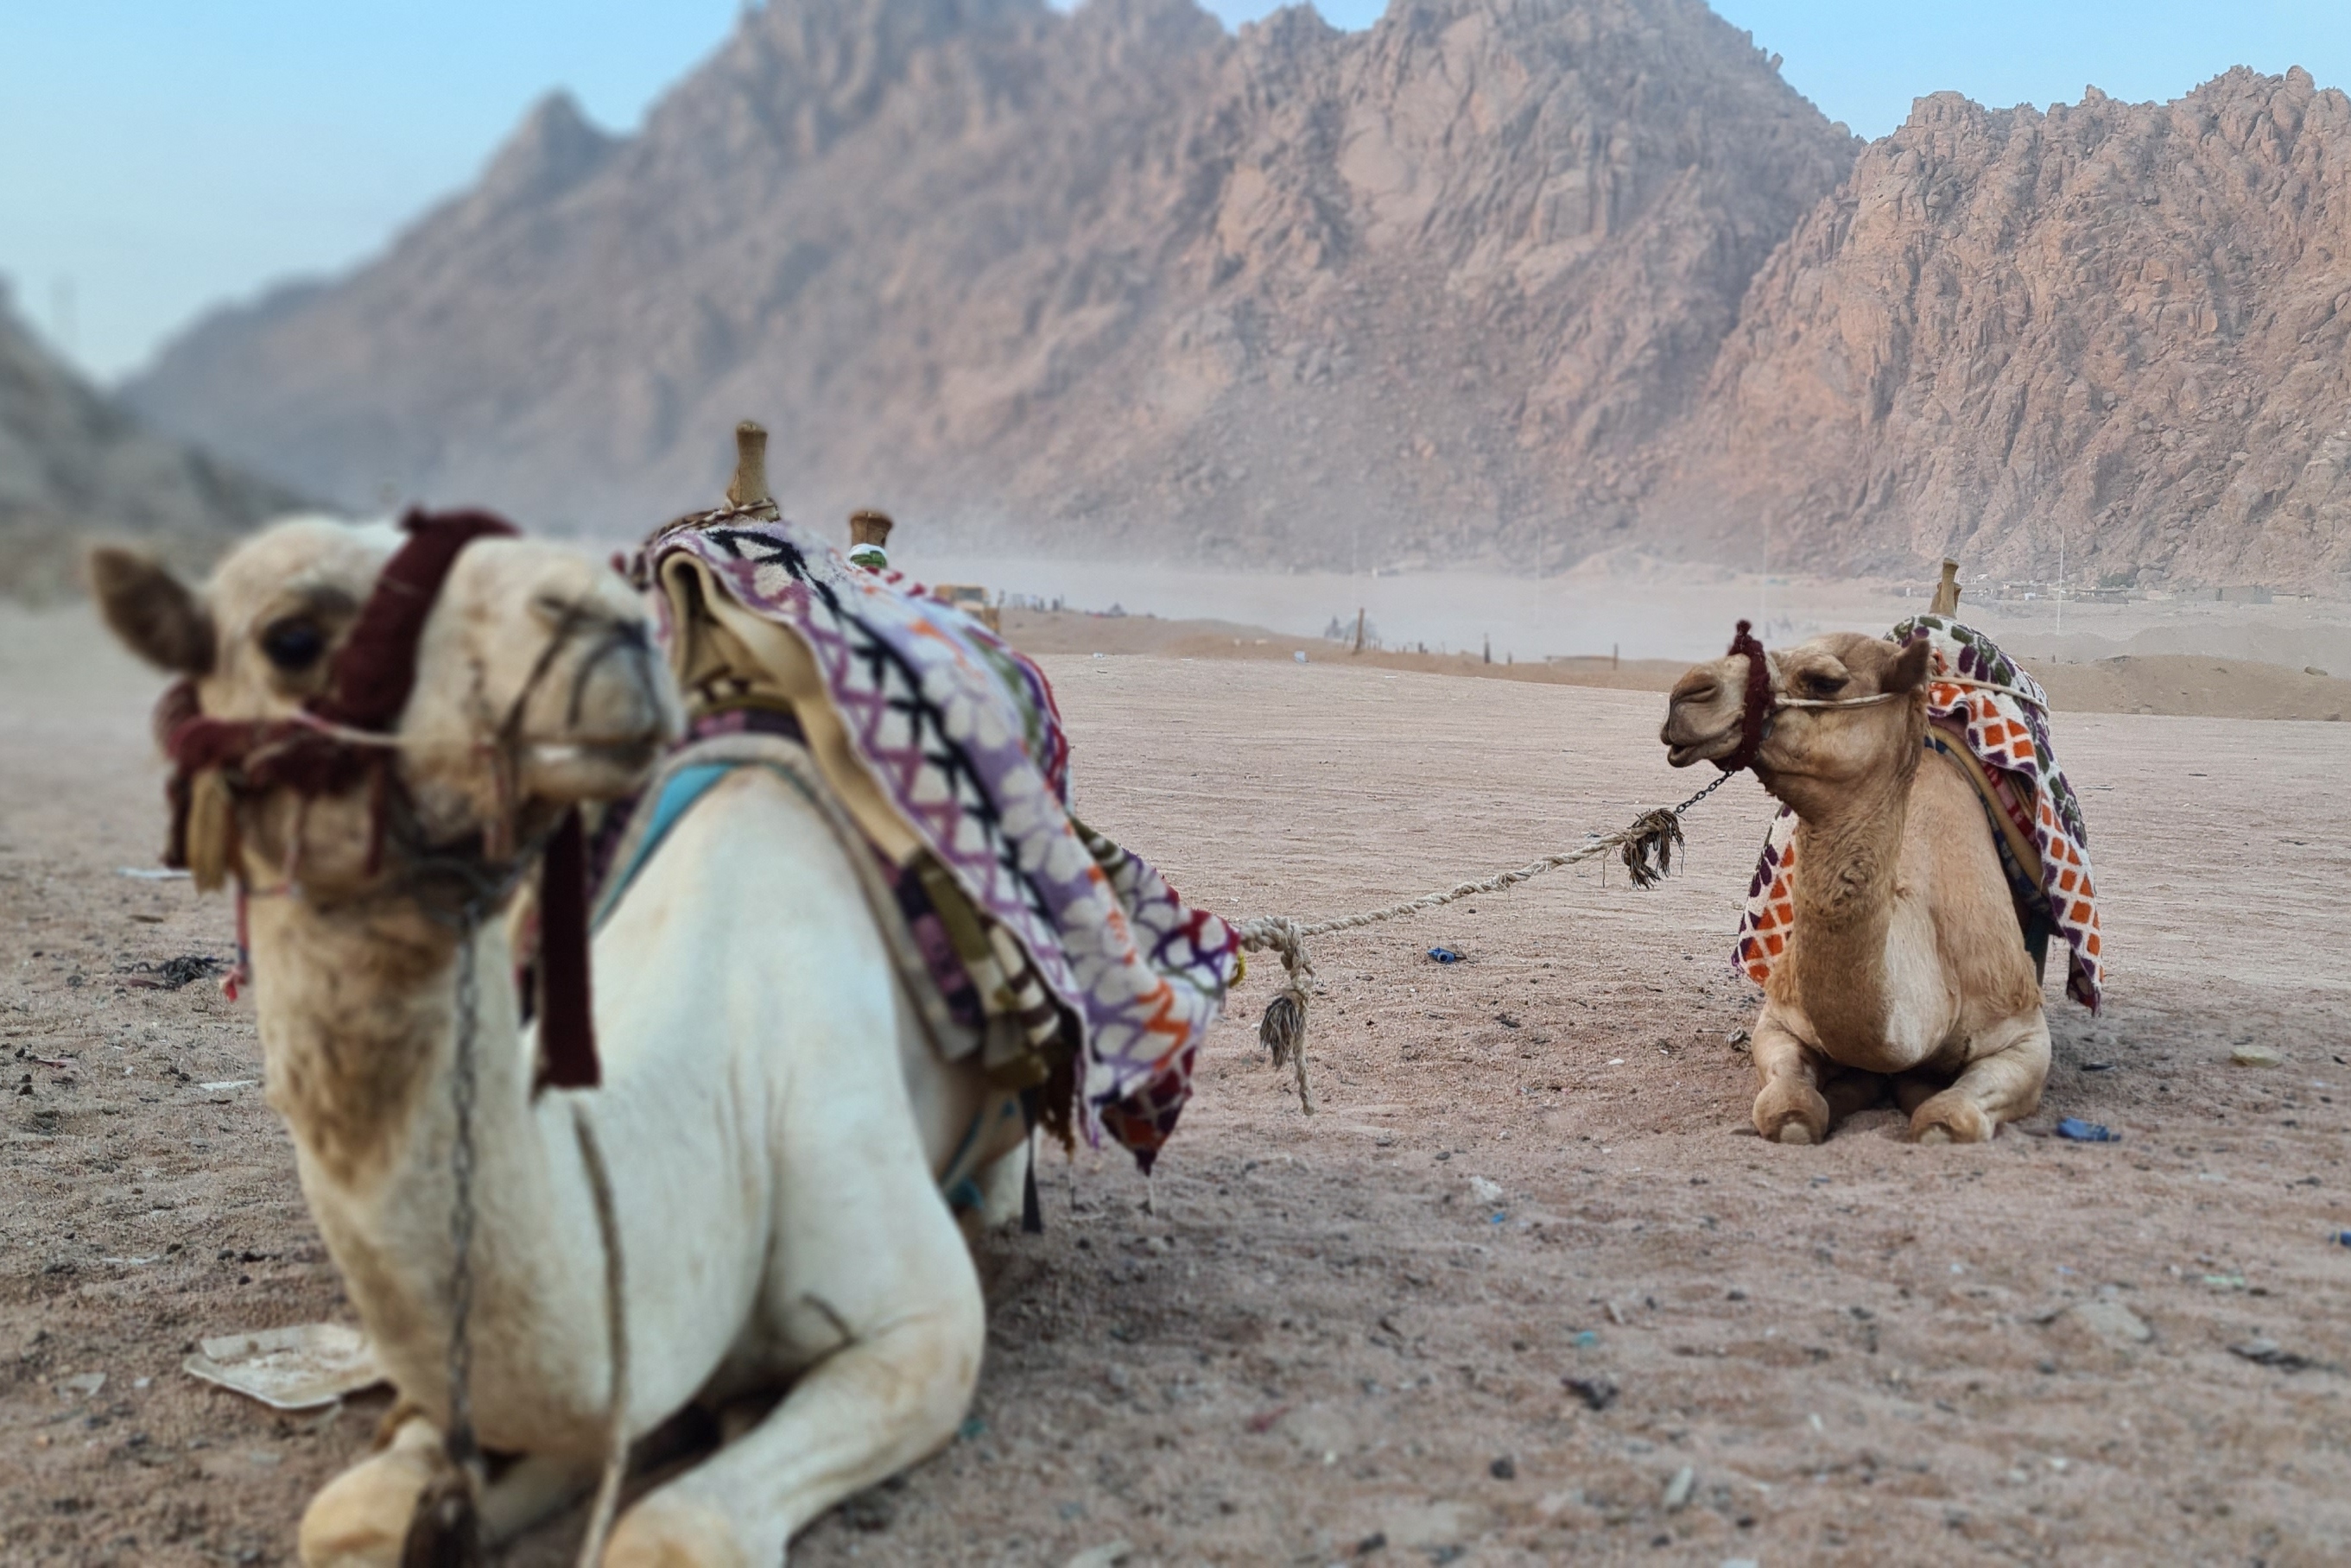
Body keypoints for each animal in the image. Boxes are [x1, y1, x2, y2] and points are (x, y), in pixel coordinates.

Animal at [1655, 629, 2059, 1147]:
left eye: (1826, 681)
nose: (1687, 693)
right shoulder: (1780, 1019)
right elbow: (1787, 1110)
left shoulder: (2023, 1032)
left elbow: (1946, 1120)